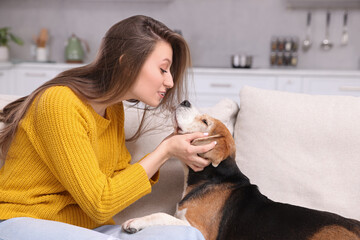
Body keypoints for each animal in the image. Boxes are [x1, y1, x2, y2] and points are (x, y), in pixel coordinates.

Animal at [123, 100, 360, 240]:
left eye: (205, 121)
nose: (185, 100)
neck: (210, 177)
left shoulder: (199, 230)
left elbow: (160, 214)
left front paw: (135, 222)